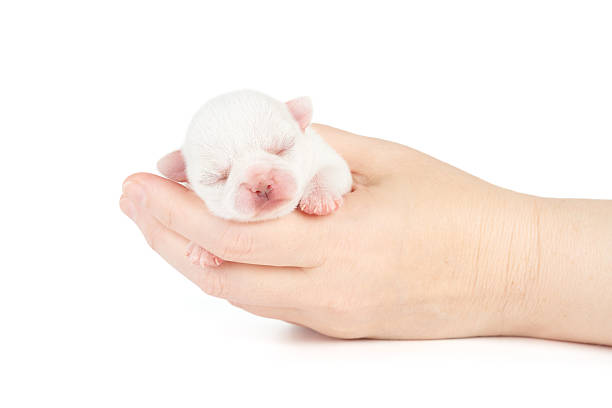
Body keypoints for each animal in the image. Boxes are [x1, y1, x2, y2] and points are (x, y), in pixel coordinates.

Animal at [179, 90, 352, 268]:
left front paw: (320, 197)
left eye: (282, 149)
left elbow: (330, 171)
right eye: (218, 178)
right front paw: (202, 248)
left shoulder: (324, 154)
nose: (260, 182)